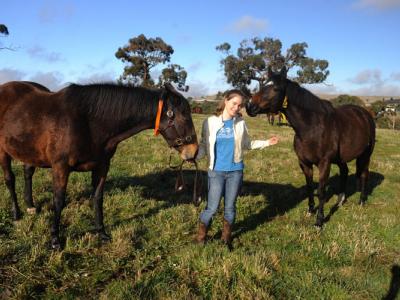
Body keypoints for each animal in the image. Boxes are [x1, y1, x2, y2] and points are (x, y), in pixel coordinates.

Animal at [0, 80, 199, 248]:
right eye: (183, 117)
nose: (194, 151)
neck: (88, 122)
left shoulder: (102, 166)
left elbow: (97, 198)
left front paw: (101, 233)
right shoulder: (60, 167)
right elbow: (58, 200)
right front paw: (55, 239)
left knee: (27, 173)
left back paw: (30, 206)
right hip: (3, 152)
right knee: (10, 180)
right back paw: (16, 214)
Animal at [247, 67, 376, 227]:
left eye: (275, 88)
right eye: (262, 85)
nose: (249, 106)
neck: (312, 127)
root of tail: (365, 113)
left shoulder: (324, 163)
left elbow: (321, 191)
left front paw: (319, 221)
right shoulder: (304, 163)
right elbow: (309, 187)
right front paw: (310, 211)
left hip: (365, 155)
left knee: (364, 174)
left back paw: (362, 201)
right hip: (341, 159)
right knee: (345, 172)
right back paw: (340, 200)